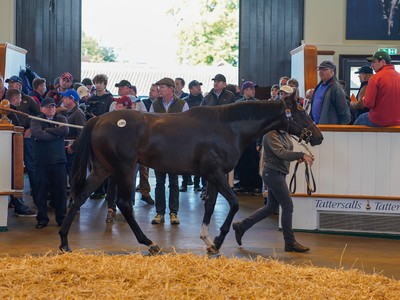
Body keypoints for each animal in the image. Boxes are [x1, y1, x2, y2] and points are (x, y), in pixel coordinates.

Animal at [58, 94, 322, 255]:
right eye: (303, 114)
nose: (319, 136)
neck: (228, 128)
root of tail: (98, 120)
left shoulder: (212, 176)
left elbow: (211, 206)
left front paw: (208, 242)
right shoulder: (215, 173)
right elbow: (234, 203)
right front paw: (218, 240)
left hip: (103, 169)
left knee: (78, 198)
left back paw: (64, 242)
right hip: (124, 169)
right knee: (124, 204)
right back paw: (150, 244)